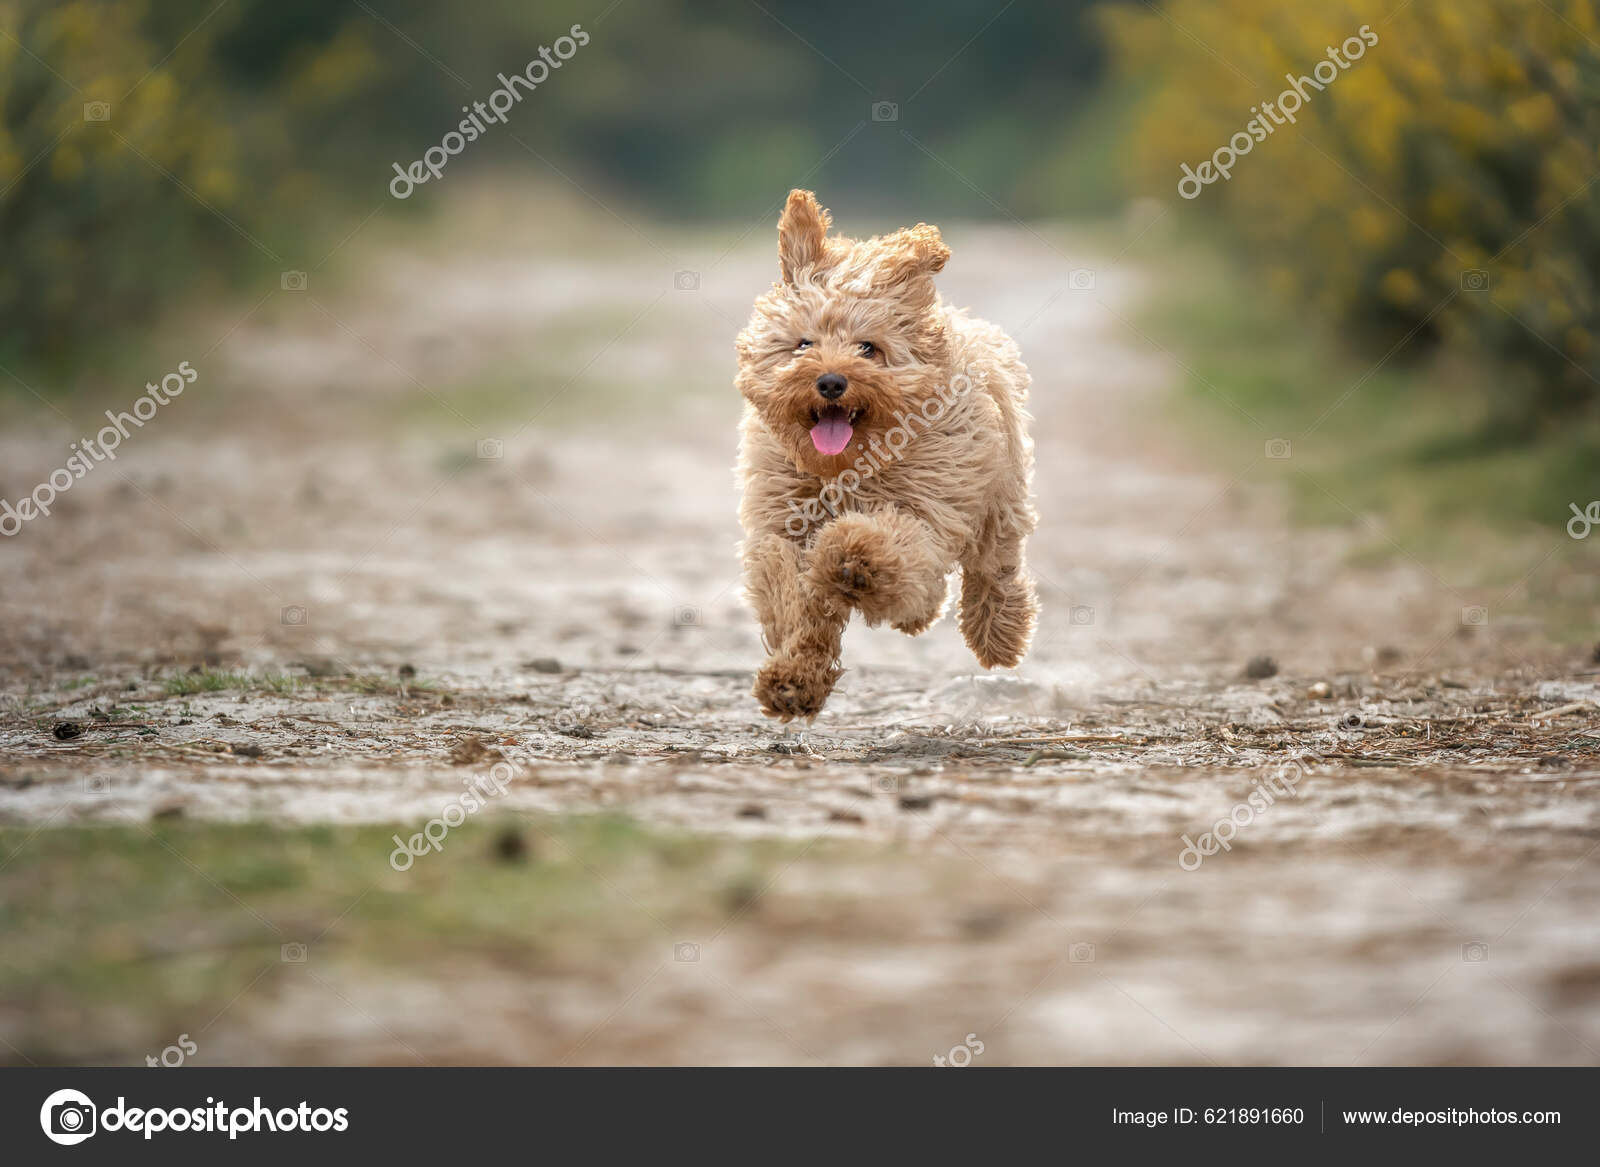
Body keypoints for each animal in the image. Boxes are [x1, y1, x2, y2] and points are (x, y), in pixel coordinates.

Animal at [736, 189, 1036, 720]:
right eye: (804, 343)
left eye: (868, 348)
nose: (831, 382)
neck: (844, 467)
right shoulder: (781, 526)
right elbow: (794, 599)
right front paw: (793, 679)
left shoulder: (927, 509)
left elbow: (889, 541)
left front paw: (852, 556)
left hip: (1001, 496)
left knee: (993, 568)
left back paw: (999, 634)